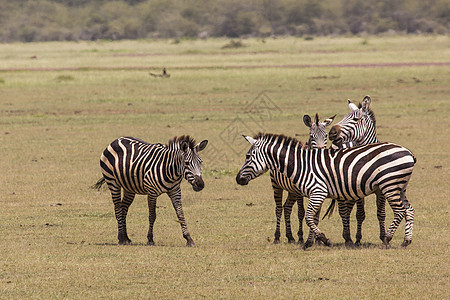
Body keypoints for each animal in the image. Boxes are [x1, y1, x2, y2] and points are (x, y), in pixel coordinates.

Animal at [237, 133, 416, 248]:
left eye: (248, 156)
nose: (238, 179)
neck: (301, 165)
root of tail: (408, 152)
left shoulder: (318, 192)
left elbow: (309, 218)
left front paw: (323, 240)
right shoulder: (315, 194)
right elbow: (313, 218)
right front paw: (311, 241)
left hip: (390, 184)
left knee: (400, 211)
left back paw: (387, 239)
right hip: (400, 186)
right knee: (409, 209)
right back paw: (406, 241)